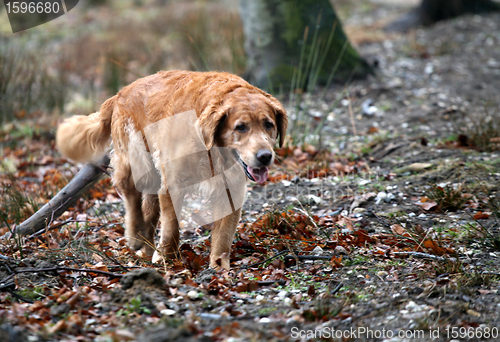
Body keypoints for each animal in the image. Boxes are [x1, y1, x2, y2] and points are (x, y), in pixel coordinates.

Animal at [56, 71, 288, 270]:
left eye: (268, 124)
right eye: (240, 127)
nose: (265, 156)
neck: (210, 146)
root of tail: (120, 93)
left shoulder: (231, 191)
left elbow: (223, 236)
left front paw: (219, 268)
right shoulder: (173, 184)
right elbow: (171, 226)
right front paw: (166, 258)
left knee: (148, 212)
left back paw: (145, 247)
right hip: (137, 161)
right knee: (131, 196)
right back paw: (135, 235)